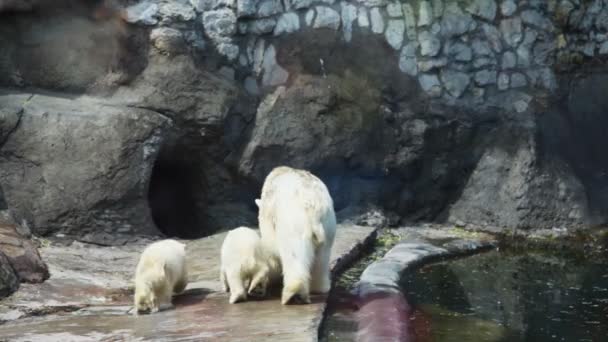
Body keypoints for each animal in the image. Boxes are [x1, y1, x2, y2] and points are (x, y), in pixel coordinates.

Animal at [253, 166, 334, 304]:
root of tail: (314, 209)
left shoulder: (269, 217)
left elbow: (271, 250)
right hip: (328, 222)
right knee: (322, 257)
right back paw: (319, 287)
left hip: (295, 224)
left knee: (294, 254)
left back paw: (294, 293)